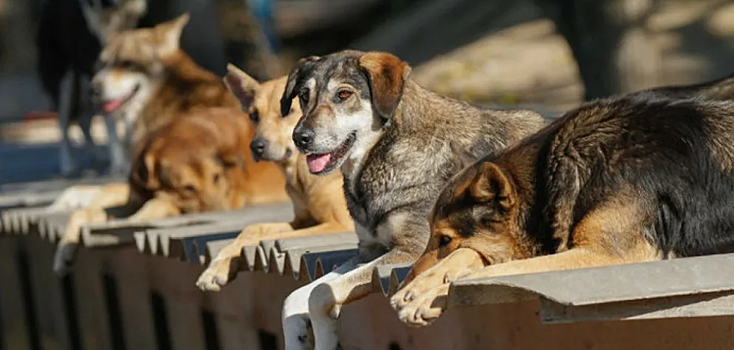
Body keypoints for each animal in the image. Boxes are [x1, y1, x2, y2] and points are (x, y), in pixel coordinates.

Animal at [37, 0, 147, 176]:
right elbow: (112, 126)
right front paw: (119, 166)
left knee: (83, 121)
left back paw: (98, 156)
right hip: (64, 83)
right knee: (63, 123)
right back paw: (68, 165)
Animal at [53, 106, 288, 274]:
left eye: (216, 178)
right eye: (188, 188)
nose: (223, 211)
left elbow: (158, 203)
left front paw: (132, 220)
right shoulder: (134, 199)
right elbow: (86, 212)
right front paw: (65, 249)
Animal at [196, 63, 356, 292]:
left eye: (287, 112)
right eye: (254, 115)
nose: (257, 146)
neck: (298, 173)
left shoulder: (339, 224)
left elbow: (264, 238)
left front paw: (219, 266)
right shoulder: (301, 221)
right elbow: (253, 229)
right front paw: (218, 264)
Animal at [276, 50, 548, 350]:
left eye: (343, 94)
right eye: (304, 96)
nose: (300, 138)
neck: (383, 153)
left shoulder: (411, 249)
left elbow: (320, 293)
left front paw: (326, 337)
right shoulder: (368, 251)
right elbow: (294, 298)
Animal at [394, 70, 734, 326]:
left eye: (444, 240)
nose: (400, 285)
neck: (552, 171)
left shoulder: (605, 256)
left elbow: (494, 271)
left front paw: (427, 295)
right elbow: (477, 259)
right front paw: (423, 287)